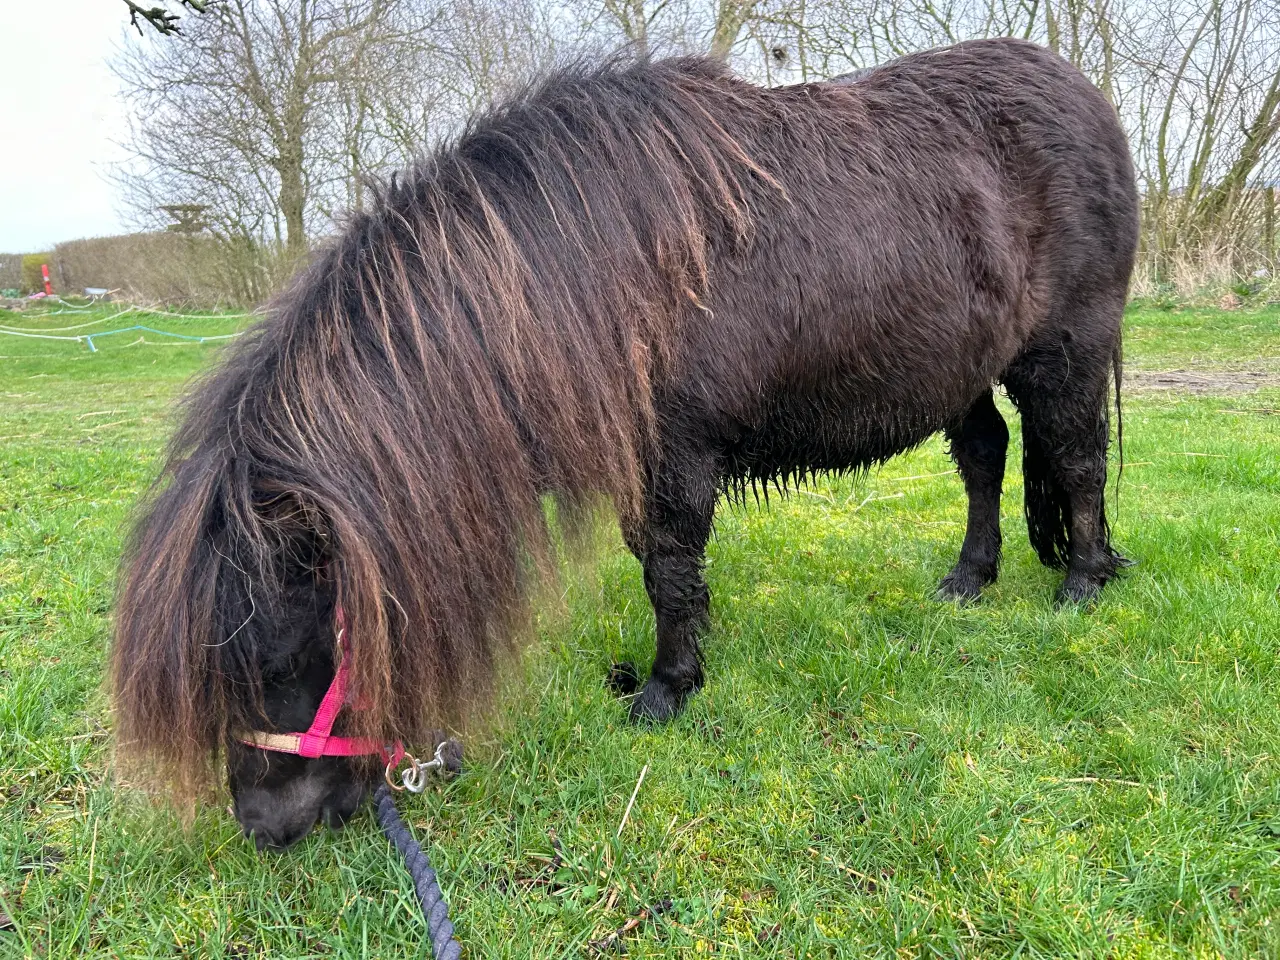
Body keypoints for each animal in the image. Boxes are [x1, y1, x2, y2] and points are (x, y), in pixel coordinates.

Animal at [112, 39, 1141, 849]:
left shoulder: (675, 455)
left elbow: (669, 572)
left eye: (276, 656)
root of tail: (1084, 93)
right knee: (987, 456)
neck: (574, 267)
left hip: (1066, 349)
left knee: (1076, 458)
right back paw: (969, 580)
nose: (263, 828)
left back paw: (1082, 585)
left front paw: (666, 692)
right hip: (962, 368)